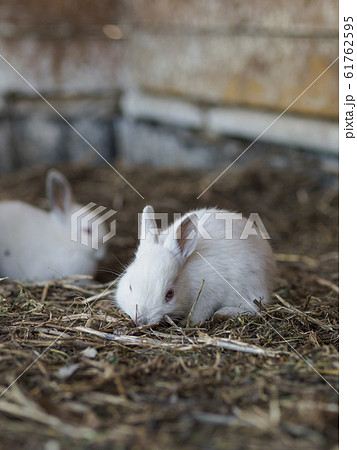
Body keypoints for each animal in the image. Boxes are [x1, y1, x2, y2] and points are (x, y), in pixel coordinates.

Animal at [115, 206, 276, 326]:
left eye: (170, 294)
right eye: (130, 287)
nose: (142, 320)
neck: (187, 277)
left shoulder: (208, 296)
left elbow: (199, 314)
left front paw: (187, 323)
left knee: (255, 307)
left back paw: (224, 313)